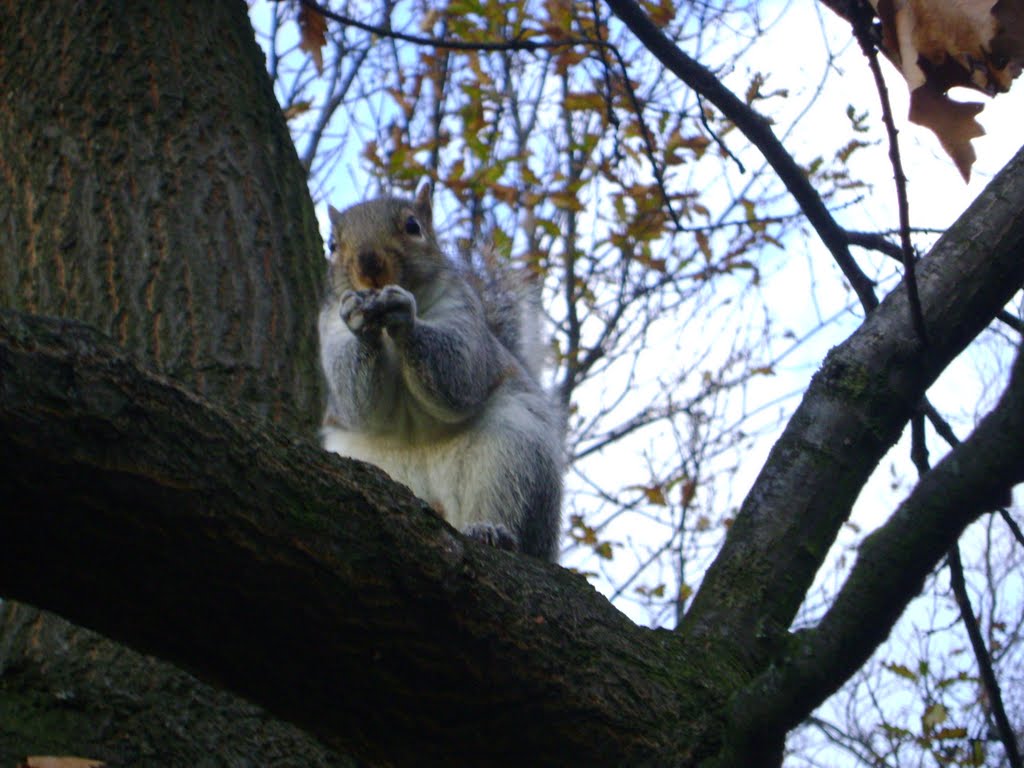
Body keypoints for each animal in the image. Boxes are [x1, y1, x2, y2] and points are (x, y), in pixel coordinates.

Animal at [317, 183, 565, 561]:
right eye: (332, 245)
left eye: (413, 226)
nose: (369, 264)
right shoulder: (330, 329)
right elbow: (358, 402)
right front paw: (360, 322)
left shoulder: (463, 314)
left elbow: (457, 372)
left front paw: (404, 312)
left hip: (516, 455)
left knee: (507, 505)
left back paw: (492, 531)